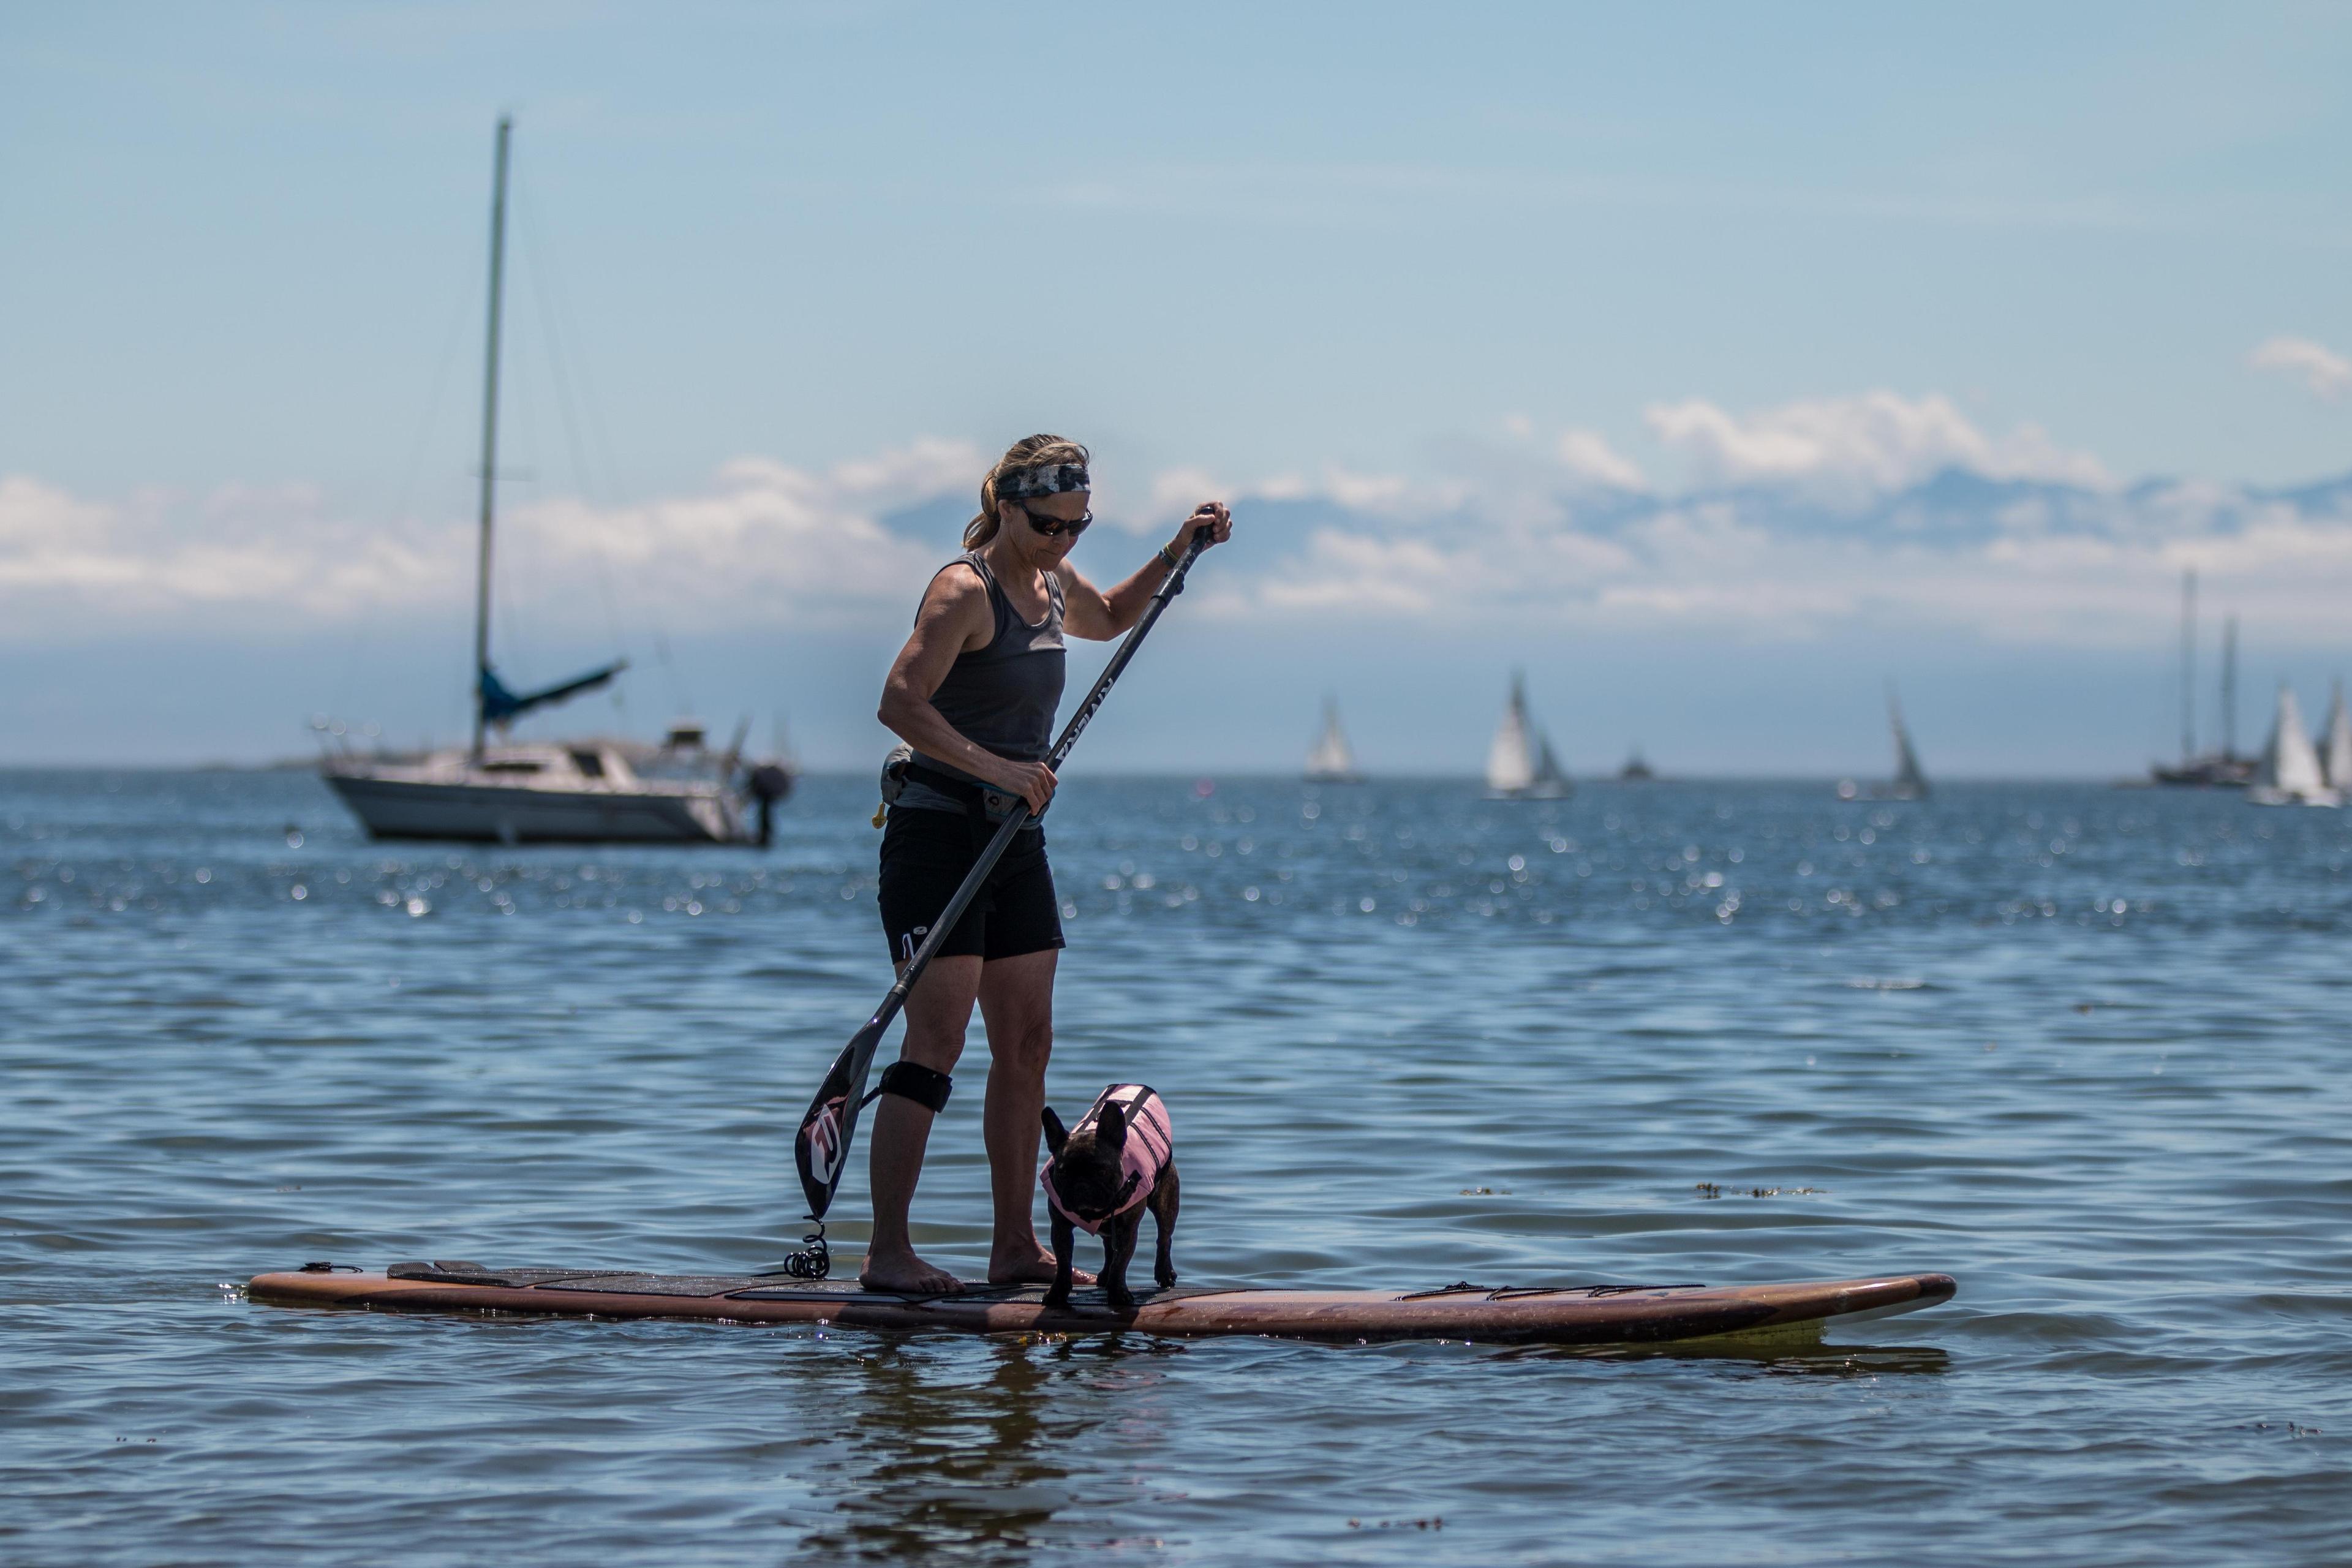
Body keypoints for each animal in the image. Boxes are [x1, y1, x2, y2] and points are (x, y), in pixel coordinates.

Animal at [1039, 1081, 1176, 1316]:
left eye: (1102, 1171)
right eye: (1063, 1172)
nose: (1082, 1186)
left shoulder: (1128, 1231)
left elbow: (1121, 1262)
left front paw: (1119, 1294)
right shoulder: (1060, 1227)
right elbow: (1064, 1262)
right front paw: (1057, 1293)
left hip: (1166, 1202)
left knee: (1164, 1237)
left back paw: (1164, 1272)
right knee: (1107, 1245)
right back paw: (1104, 1275)